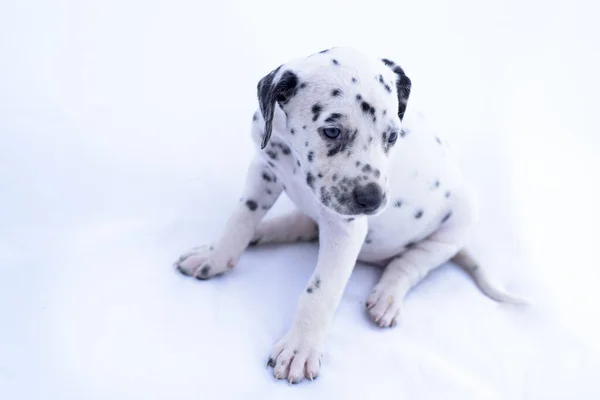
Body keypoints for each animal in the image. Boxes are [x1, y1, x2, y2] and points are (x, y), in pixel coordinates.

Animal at [173, 47, 524, 384]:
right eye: (331, 131)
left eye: (392, 137)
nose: (373, 199)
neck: (294, 159)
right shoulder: (264, 170)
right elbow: (240, 220)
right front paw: (216, 257)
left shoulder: (345, 229)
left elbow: (320, 290)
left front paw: (300, 348)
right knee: (302, 223)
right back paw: (261, 233)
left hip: (462, 214)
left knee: (413, 262)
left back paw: (388, 295)